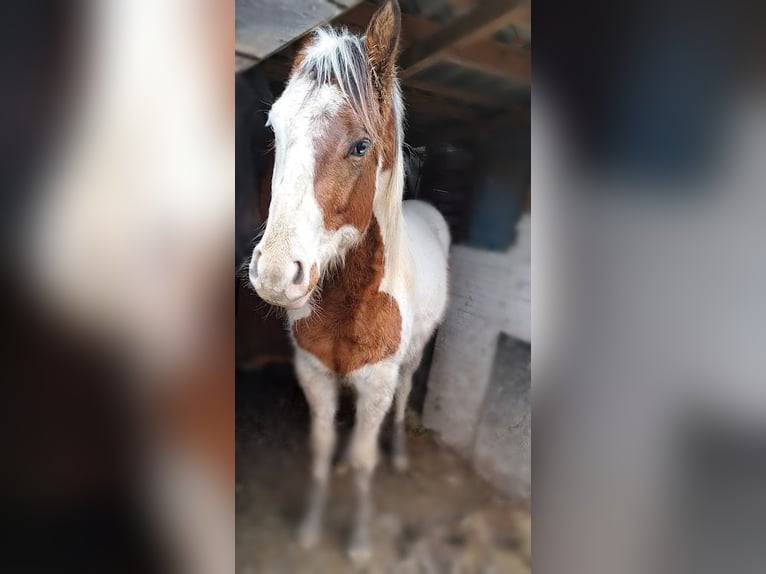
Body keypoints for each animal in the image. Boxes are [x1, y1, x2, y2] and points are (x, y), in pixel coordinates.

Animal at [248, 0, 450, 564]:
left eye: (361, 145)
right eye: (275, 130)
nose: (275, 273)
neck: (349, 302)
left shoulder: (377, 383)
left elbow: (365, 459)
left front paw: (358, 541)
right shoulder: (315, 374)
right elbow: (319, 451)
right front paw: (310, 528)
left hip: (414, 356)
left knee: (405, 395)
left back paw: (400, 453)